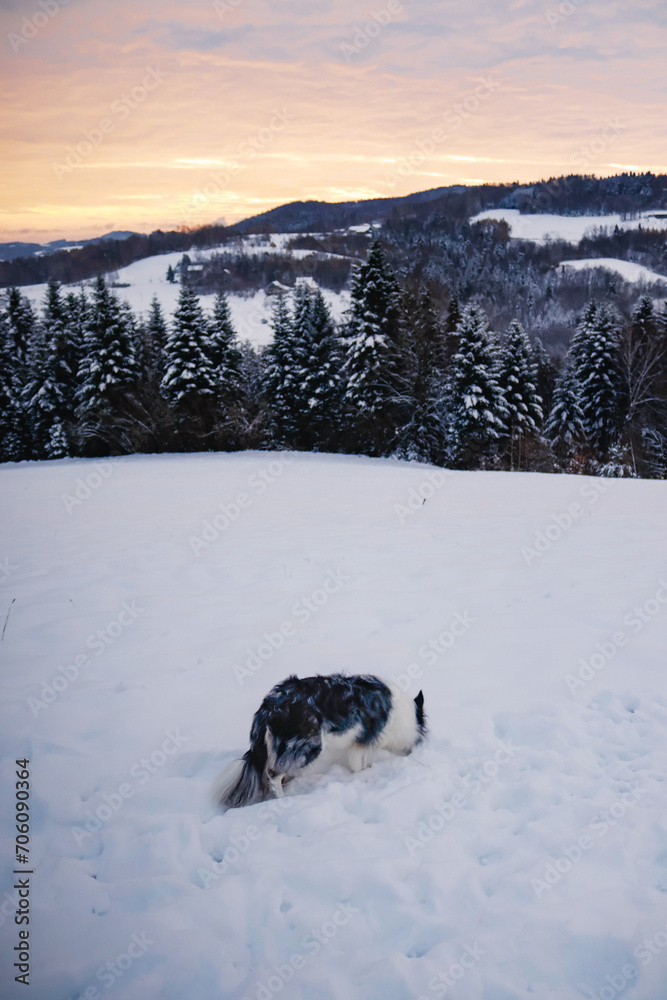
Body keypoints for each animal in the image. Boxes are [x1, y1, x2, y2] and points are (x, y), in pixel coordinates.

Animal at [211, 676, 426, 808]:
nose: (412, 752)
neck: (404, 714)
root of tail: (269, 705)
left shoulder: (358, 742)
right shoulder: (361, 741)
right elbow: (358, 765)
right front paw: (363, 774)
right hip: (307, 745)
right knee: (274, 773)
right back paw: (282, 798)